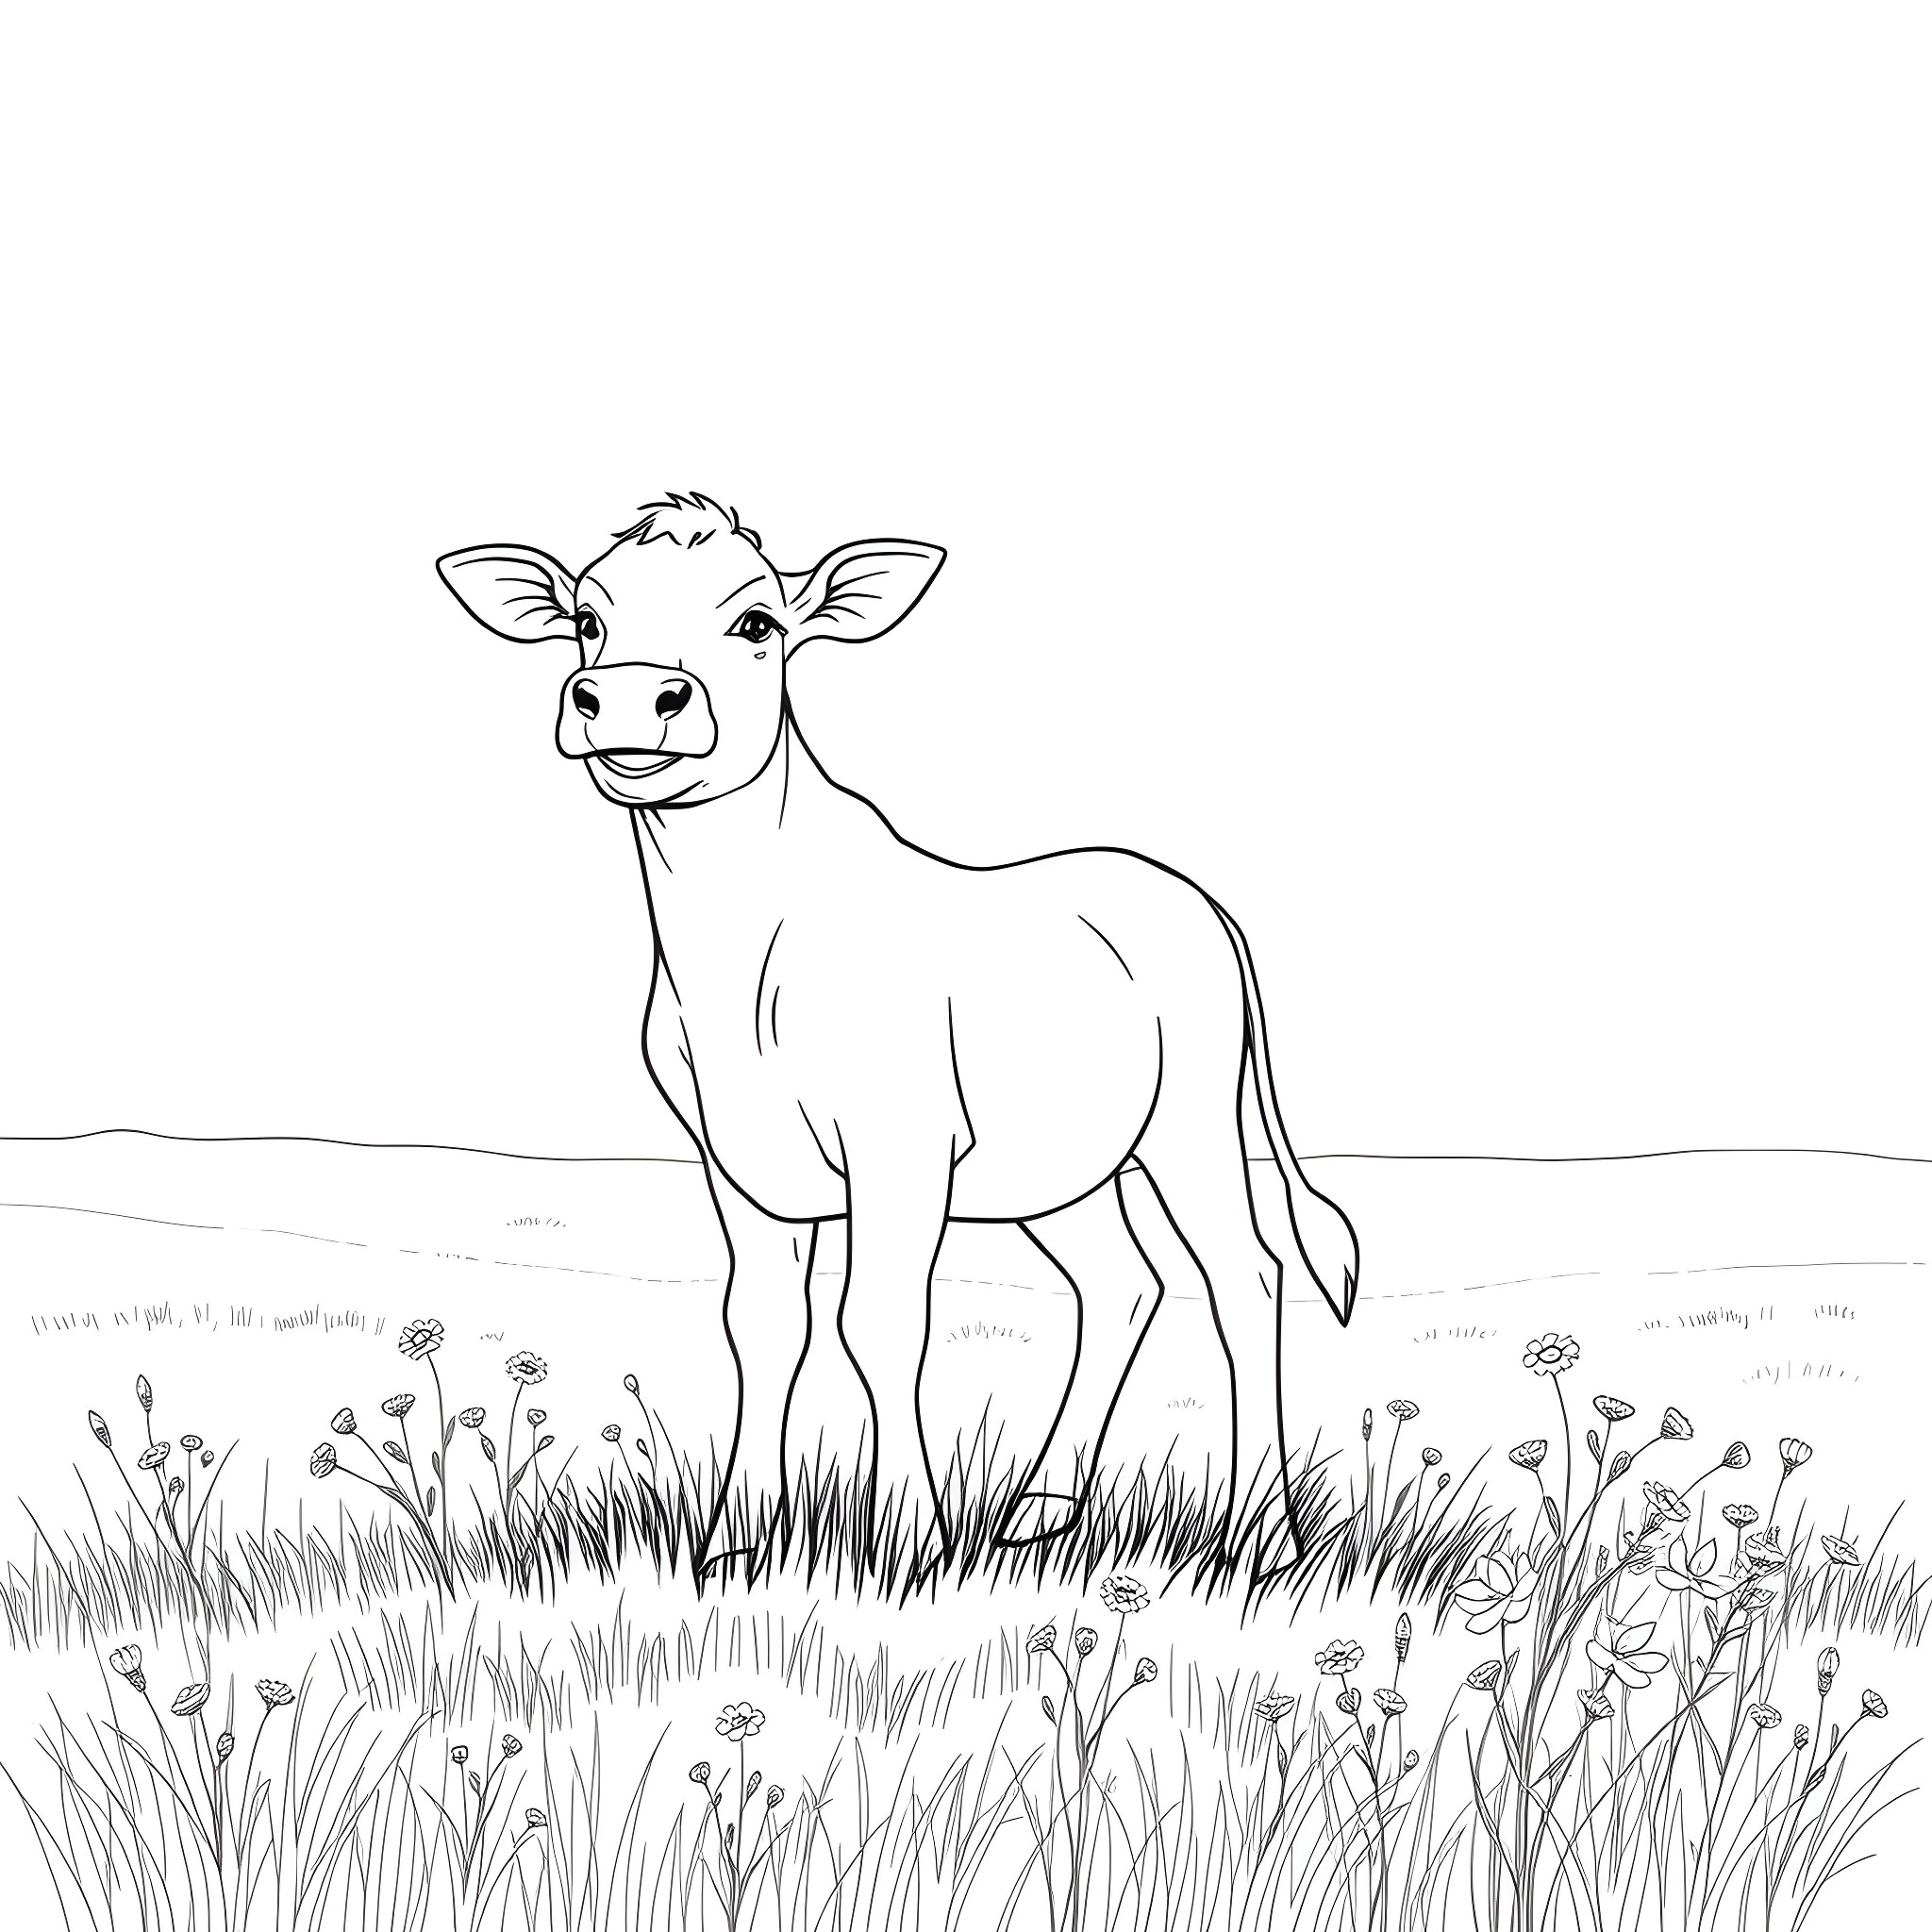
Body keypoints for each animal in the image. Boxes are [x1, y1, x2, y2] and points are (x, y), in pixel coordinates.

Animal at [437, 492, 1358, 1568]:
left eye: (758, 624)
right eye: (588, 619)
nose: (626, 697)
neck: (733, 956)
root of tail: (1193, 900)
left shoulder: (901, 1144)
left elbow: (877, 1321)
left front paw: (911, 1540)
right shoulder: (734, 1156)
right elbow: (760, 1322)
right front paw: (734, 1544)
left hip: (1190, 1123)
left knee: (1243, 1276)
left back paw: (1263, 1535)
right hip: (1059, 1163)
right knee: (1119, 1283)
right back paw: (1043, 1504)